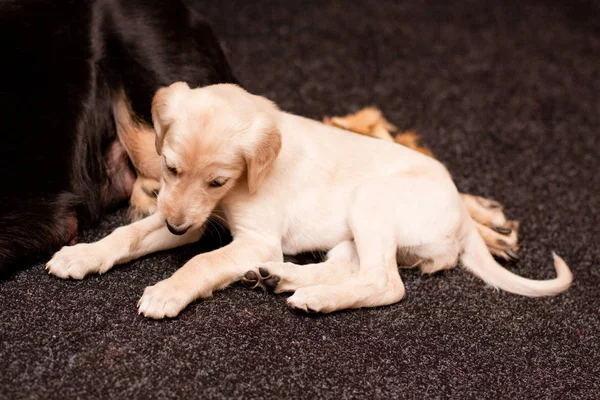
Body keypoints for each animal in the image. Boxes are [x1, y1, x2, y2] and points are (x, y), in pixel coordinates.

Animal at [45, 82, 572, 318]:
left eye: (217, 181)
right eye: (170, 168)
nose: (174, 227)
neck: (241, 185)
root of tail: (463, 216)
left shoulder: (253, 238)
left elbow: (202, 262)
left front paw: (168, 291)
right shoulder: (192, 218)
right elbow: (129, 233)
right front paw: (82, 254)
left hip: (371, 200)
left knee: (386, 283)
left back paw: (314, 298)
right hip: (353, 233)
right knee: (348, 267)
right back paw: (282, 279)